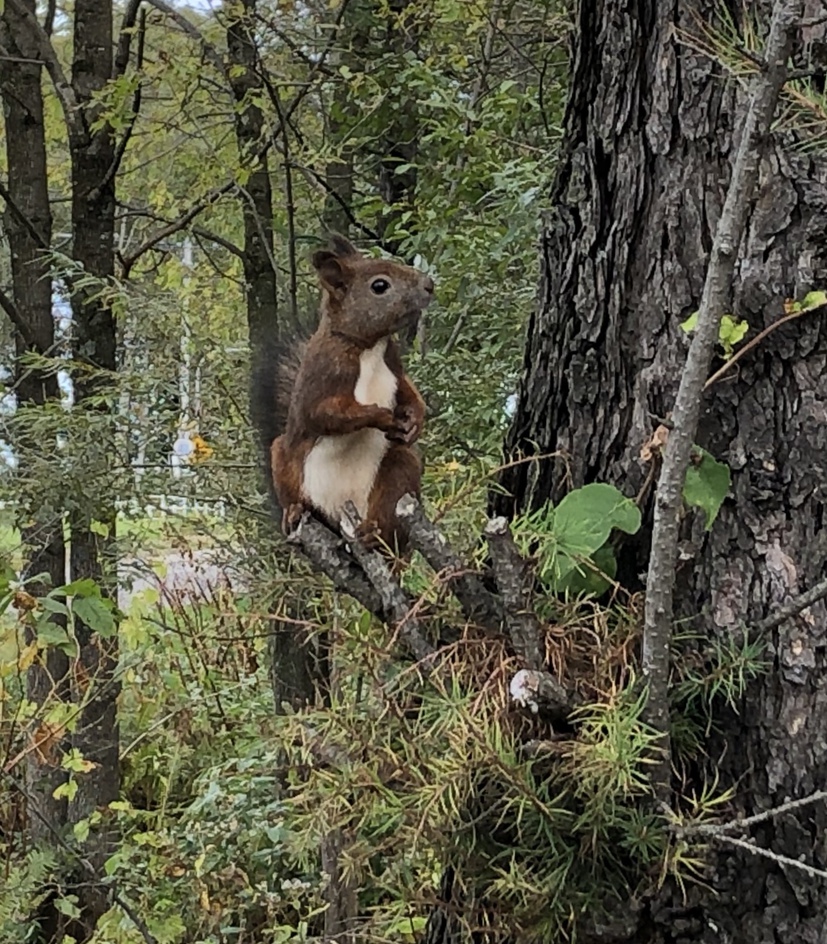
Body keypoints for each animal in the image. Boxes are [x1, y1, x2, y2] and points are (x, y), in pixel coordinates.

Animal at [256, 231, 436, 548]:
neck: (368, 346)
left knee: (389, 514)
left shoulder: (395, 368)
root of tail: (339, 513)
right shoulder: (321, 378)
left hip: (399, 469)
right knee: (294, 491)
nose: (429, 284)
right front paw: (380, 415)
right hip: (283, 457)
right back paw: (294, 511)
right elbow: (328, 414)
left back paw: (372, 531)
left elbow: (408, 390)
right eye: (379, 286)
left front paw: (415, 419)